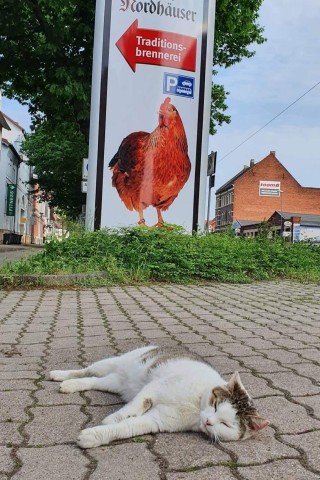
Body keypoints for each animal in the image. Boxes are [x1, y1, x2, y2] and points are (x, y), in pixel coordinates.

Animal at [50, 344, 270, 450]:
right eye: (215, 405)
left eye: (226, 424)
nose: (208, 421)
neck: (195, 407)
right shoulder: (154, 388)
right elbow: (134, 406)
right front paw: (113, 418)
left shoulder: (156, 420)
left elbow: (126, 428)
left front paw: (95, 436)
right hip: (110, 363)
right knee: (86, 370)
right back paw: (60, 375)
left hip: (113, 382)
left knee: (93, 381)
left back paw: (70, 385)